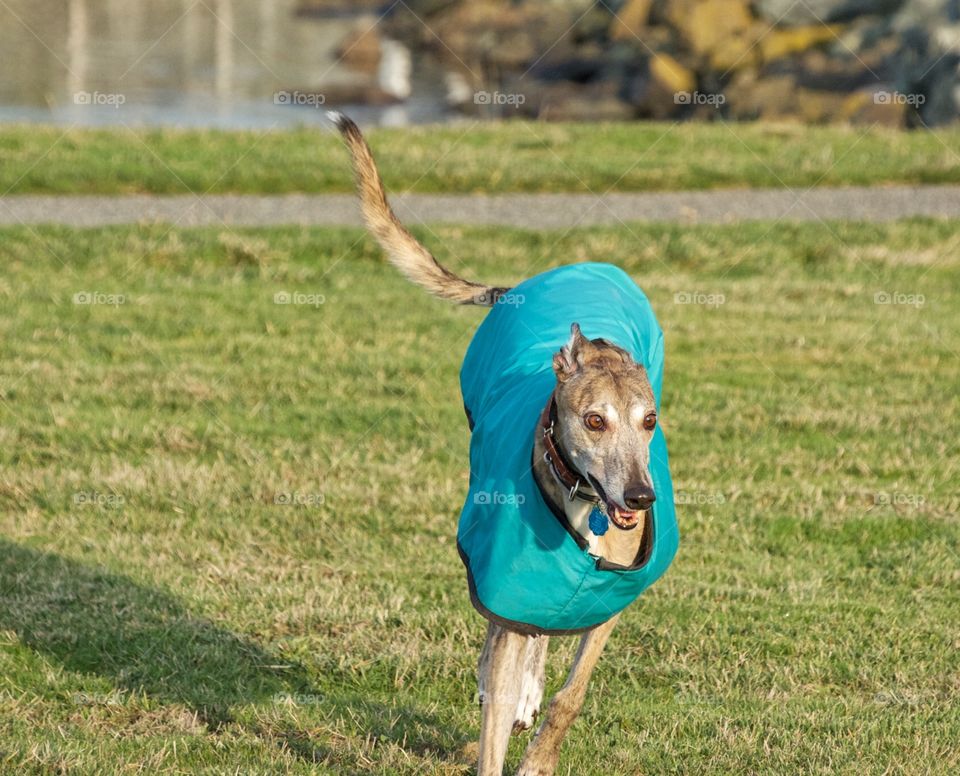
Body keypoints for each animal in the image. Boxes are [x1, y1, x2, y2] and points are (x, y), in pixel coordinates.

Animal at [334, 110, 680, 776]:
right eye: (594, 421)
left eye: (650, 420)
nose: (640, 498)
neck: (583, 501)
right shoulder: (512, 585)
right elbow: (495, 707)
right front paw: (504, 708)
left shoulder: (610, 597)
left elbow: (572, 694)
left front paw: (539, 752)